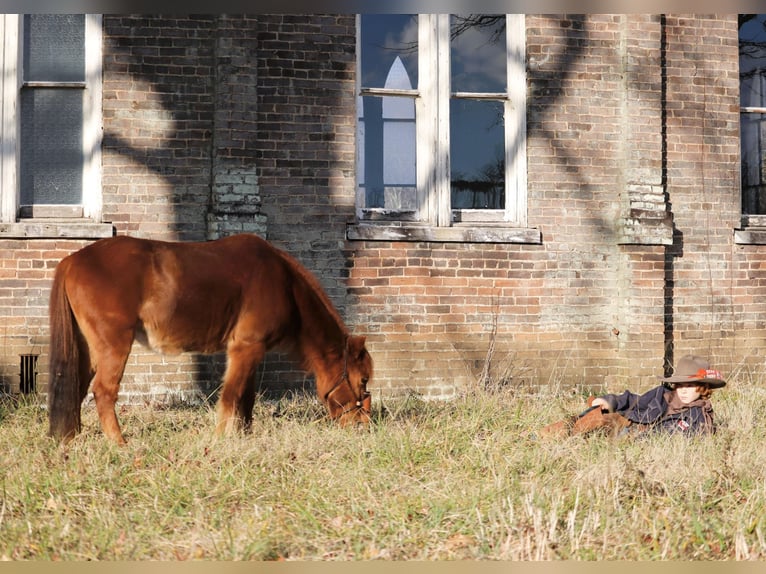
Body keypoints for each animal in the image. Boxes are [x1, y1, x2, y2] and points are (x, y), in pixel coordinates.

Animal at [45, 234, 376, 446]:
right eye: (363, 380)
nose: (363, 425)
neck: (286, 285)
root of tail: (72, 260)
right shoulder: (245, 347)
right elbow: (230, 395)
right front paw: (219, 439)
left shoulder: (251, 351)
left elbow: (247, 397)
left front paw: (244, 436)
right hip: (114, 345)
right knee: (103, 392)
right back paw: (119, 443)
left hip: (89, 348)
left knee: (77, 386)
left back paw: (71, 439)